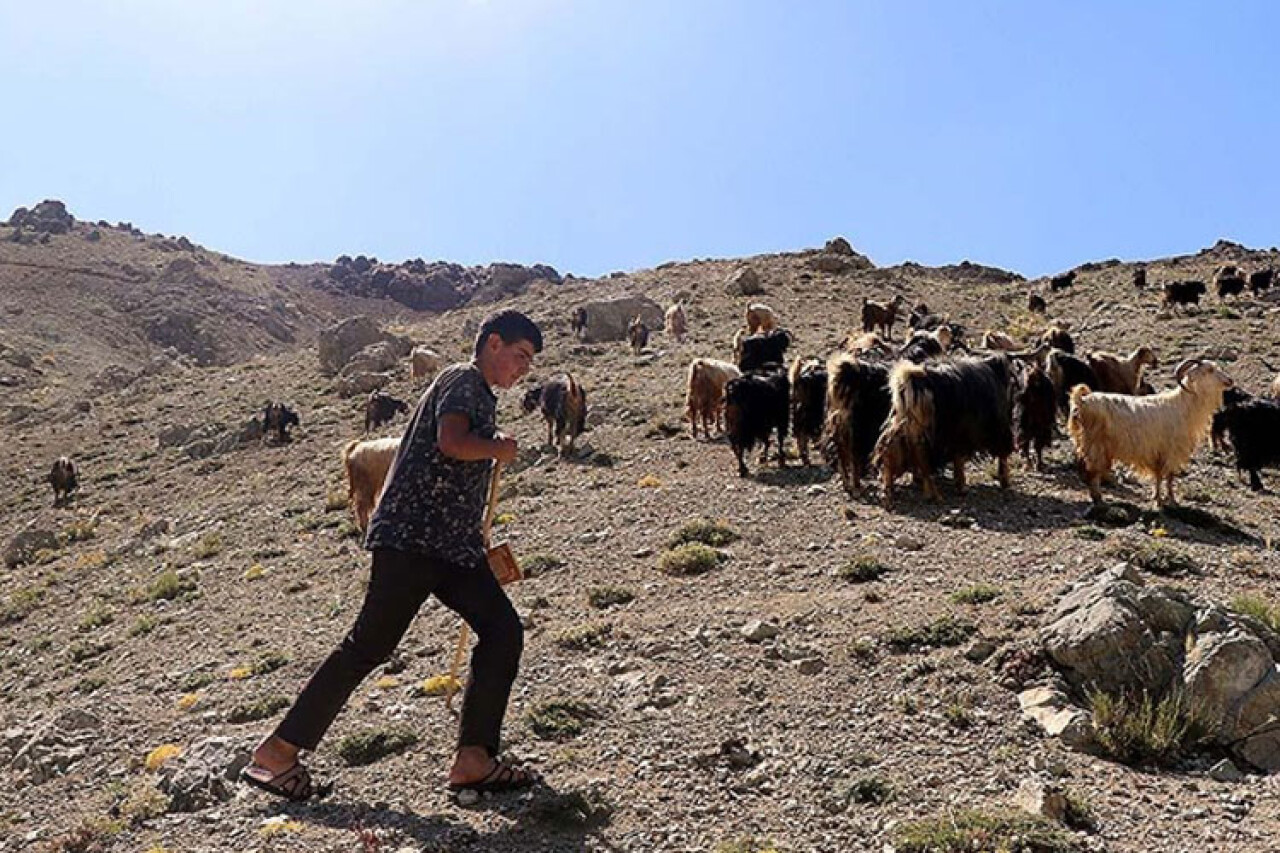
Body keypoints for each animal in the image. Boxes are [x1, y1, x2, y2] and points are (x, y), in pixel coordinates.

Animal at [1064, 353, 1233, 502]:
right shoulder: (1171, 450)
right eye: (1209, 370)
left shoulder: (1157, 452)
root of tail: (1082, 401)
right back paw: (1098, 498)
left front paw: (1157, 497)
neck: (1183, 405)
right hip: (1095, 445)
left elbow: (1158, 476)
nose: (1230, 380)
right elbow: (1170, 477)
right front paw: (1171, 500)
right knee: (1093, 473)